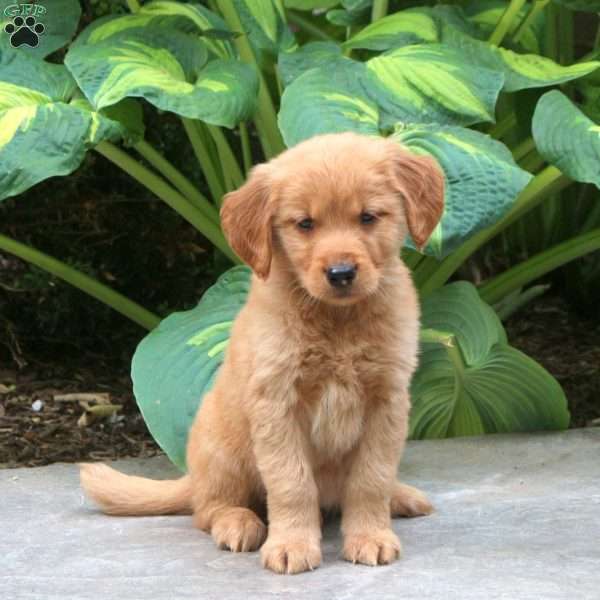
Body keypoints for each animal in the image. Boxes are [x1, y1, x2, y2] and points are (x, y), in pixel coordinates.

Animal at [78, 132, 446, 576]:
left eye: (368, 217)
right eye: (305, 224)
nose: (341, 273)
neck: (337, 321)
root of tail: (192, 477)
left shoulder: (387, 401)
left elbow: (371, 478)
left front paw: (370, 536)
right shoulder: (277, 403)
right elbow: (291, 483)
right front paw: (292, 544)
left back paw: (400, 496)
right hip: (223, 452)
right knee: (208, 508)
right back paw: (238, 523)